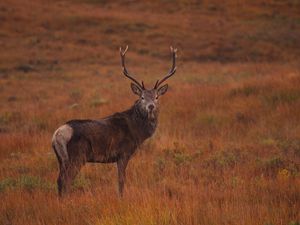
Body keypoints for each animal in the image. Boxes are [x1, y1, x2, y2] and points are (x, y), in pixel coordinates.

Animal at [51, 46, 177, 197]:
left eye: (156, 97)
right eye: (142, 97)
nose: (151, 106)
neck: (137, 132)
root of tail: (57, 134)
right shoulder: (123, 153)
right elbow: (121, 181)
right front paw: (121, 198)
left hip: (61, 158)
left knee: (59, 180)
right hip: (77, 155)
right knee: (66, 180)